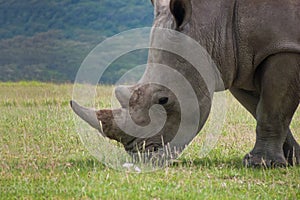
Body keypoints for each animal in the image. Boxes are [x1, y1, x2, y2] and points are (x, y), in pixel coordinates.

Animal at [71, 0, 300, 168]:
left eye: (163, 100)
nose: (142, 158)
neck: (211, 22)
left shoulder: (285, 47)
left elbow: (271, 111)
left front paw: (261, 164)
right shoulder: (238, 60)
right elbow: (262, 109)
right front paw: (293, 160)